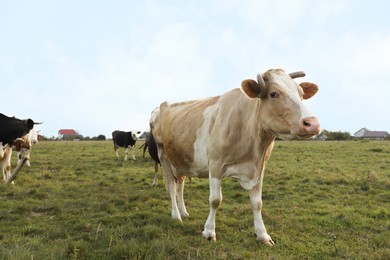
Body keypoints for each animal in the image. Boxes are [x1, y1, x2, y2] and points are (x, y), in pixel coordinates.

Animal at [151, 68, 322, 245]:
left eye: (301, 93)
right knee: (171, 185)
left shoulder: (259, 169)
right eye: (274, 94)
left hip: (181, 160)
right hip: (163, 155)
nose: (312, 123)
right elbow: (215, 200)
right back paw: (176, 215)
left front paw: (262, 234)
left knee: (180, 185)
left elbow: (257, 203)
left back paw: (183, 212)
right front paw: (209, 232)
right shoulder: (215, 165)